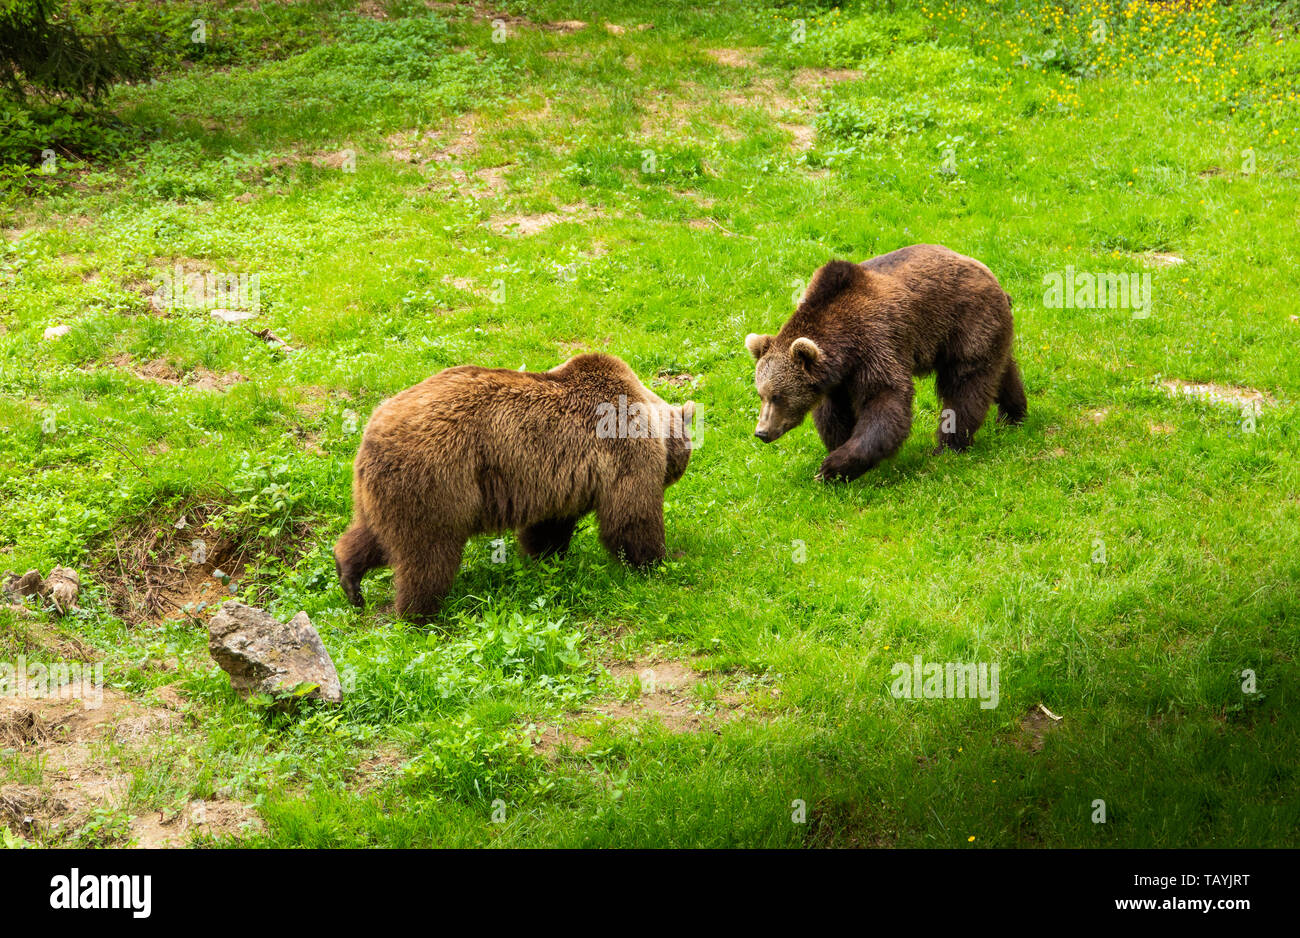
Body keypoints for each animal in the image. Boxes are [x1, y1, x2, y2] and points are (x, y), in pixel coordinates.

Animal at [334, 353, 696, 621]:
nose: (675, 472)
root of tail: (372, 432)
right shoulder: (623, 448)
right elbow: (631, 517)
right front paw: (660, 562)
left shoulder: (559, 480)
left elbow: (548, 527)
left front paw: (546, 560)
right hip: (435, 478)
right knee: (427, 554)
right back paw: (423, 616)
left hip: (383, 491)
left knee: (373, 534)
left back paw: (349, 578)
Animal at [745, 244, 1026, 482]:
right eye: (761, 394)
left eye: (778, 396)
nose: (761, 432)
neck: (844, 345)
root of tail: (988, 272)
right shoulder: (837, 380)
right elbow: (834, 414)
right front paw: (838, 450)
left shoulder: (875, 344)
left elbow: (885, 400)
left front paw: (833, 467)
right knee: (1000, 371)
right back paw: (1012, 414)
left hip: (965, 322)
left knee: (966, 386)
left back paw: (949, 445)